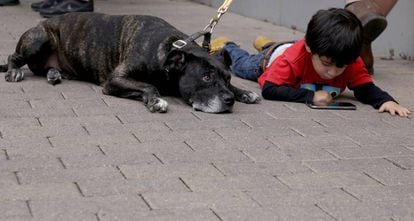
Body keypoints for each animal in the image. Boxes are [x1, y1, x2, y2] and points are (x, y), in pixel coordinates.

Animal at [0, 12, 258, 113]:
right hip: (39, 39)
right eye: (206, 77)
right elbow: (148, 86)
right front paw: (155, 100)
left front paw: (244, 92)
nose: (229, 100)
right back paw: (14, 72)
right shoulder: (116, 79)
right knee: (14, 57)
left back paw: (54, 74)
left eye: (227, 78)